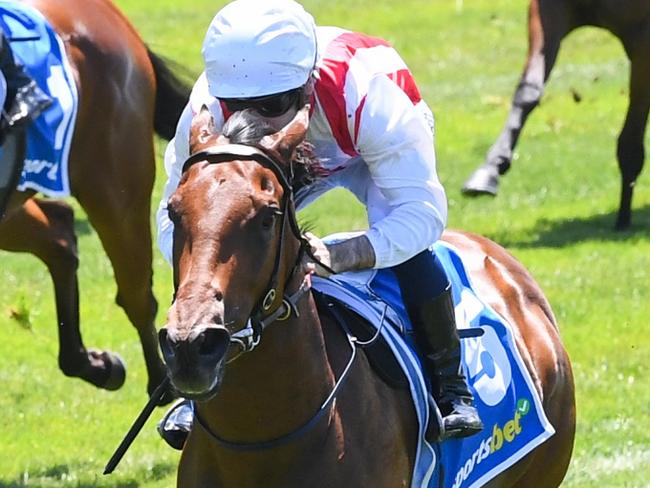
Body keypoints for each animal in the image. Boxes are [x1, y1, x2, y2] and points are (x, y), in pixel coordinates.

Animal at [460, 0, 648, 231]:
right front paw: (490, 169)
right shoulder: (548, 11)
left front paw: (623, 217)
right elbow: (528, 89)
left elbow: (631, 140)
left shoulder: (642, 39)